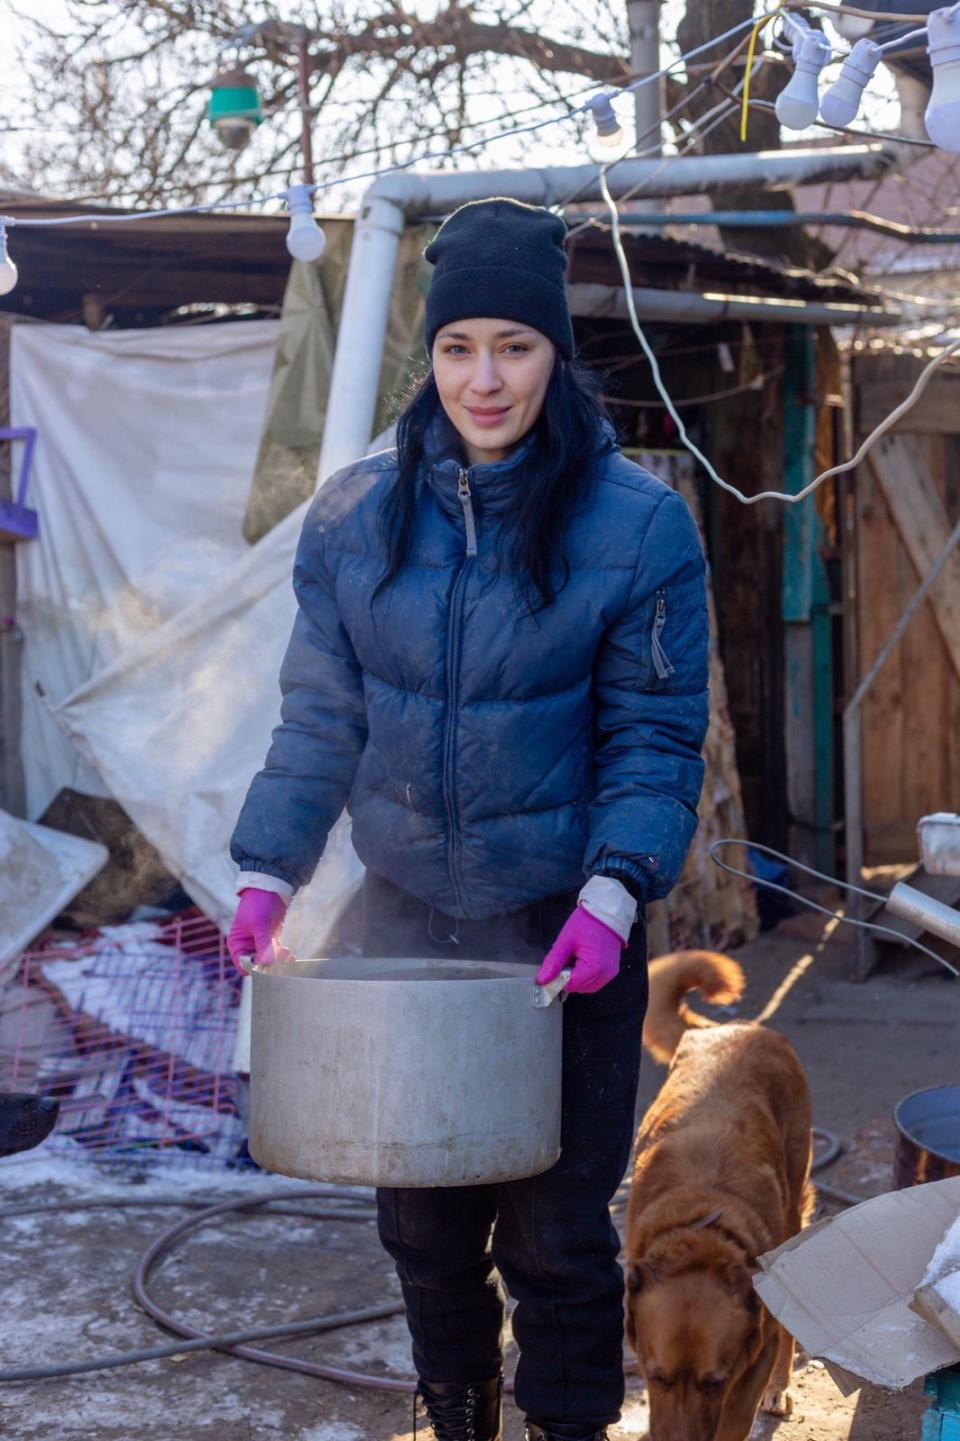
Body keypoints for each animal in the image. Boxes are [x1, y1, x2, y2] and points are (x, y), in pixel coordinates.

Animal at [619, 951, 807, 1435]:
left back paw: (781, 1386)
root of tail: (731, 1027)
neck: (701, 1229)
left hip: (794, 1206)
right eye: (656, 1376)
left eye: (714, 1382)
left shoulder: (755, 1354)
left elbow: (735, 1418)